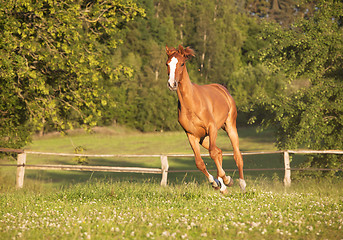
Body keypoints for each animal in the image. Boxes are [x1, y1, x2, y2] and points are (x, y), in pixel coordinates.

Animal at [167, 45, 247, 194]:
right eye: (167, 64)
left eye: (182, 63)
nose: (172, 84)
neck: (191, 104)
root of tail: (222, 89)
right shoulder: (192, 135)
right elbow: (199, 162)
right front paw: (216, 183)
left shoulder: (212, 128)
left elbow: (213, 153)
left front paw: (226, 179)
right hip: (204, 138)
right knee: (220, 151)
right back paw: (223, 187)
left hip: (230, 126)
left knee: (236, 155)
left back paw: (241, 184)